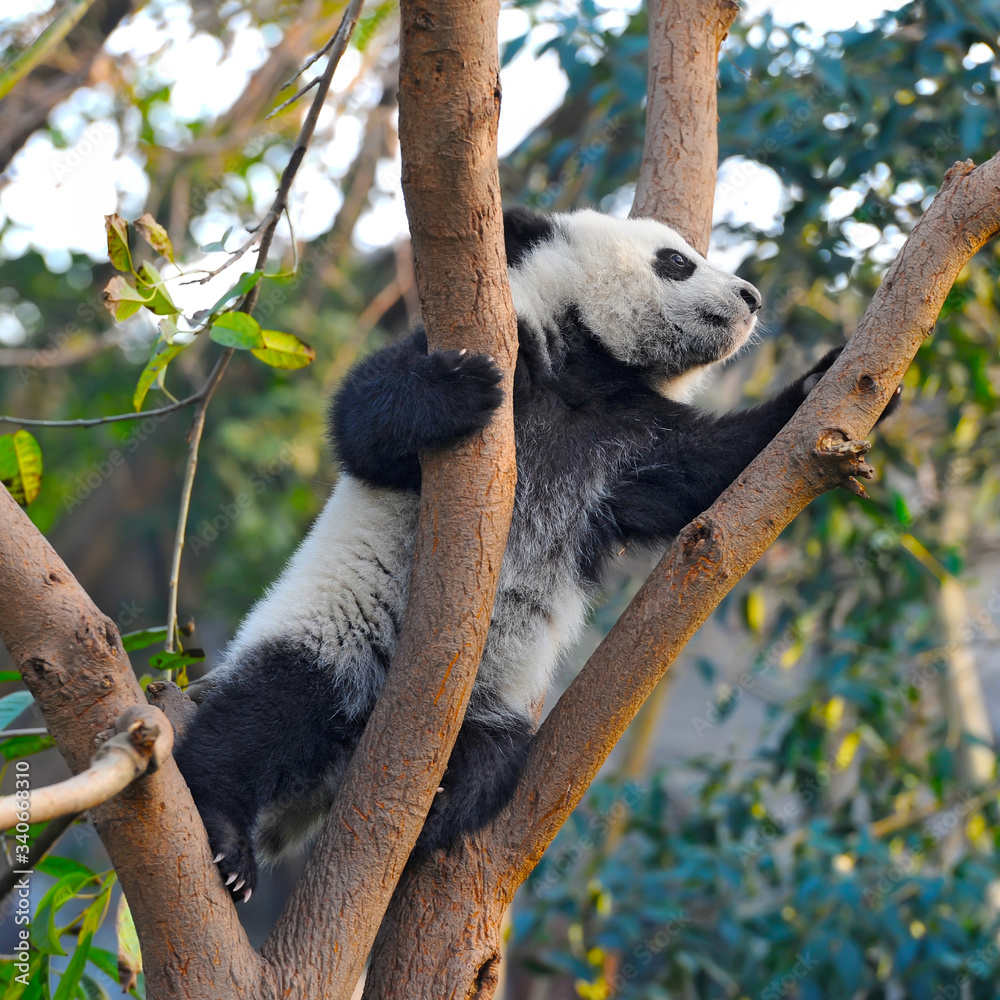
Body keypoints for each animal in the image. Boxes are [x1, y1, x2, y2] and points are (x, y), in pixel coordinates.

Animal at [175, 206, 895, 901]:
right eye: (676, 261)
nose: (751, 296)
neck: (584, 374)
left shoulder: (623, 441)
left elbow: (709, 470)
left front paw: (837, 382)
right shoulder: (509, 356)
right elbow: (365, 422)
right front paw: (457, 390)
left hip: (491, 705)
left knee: (493, 762)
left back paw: (440, 807)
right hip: (336, 631)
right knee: (267, 711)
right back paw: (226, 838)